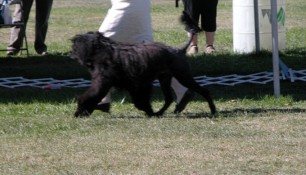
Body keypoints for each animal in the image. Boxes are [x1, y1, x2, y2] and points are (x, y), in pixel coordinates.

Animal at [70, 11, 216, 117]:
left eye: (75, 46)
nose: (69, 53)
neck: (103, 50)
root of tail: (179, 50)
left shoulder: (112, 83)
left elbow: (91, 96)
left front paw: (82, 109)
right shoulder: (132, 85)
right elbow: (140, 101)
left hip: (183, 75)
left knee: (204, 91)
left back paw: (213, 110)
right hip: (165, 78)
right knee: (169, 98)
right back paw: (160, 113)